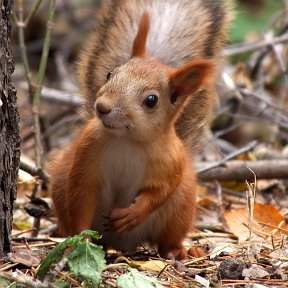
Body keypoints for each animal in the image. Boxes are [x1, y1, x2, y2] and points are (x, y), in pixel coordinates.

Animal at [47, 0, 232, 260]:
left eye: (151, 100)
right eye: (110, 74)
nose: (102, 107)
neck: (128, 140)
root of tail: (121, 244)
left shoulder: (172, 162)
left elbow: (161, 191)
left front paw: (133, 214)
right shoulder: (86, 154)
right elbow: (80, 198)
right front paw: (79, 241)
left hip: (181, 207)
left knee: (168, 238)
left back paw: (179, 251)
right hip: (59, 184)